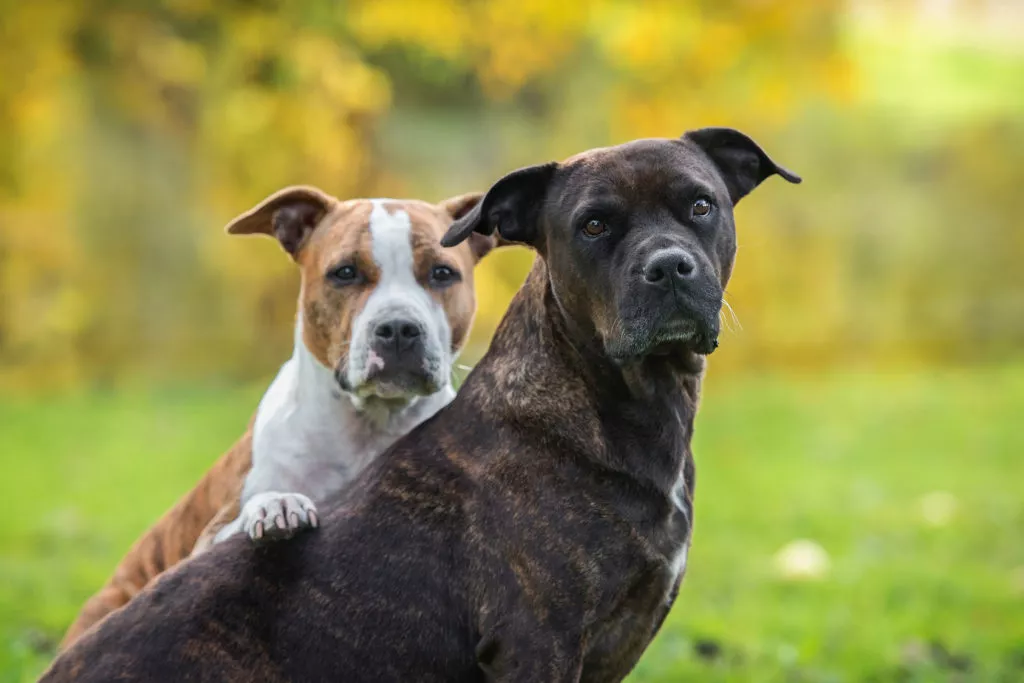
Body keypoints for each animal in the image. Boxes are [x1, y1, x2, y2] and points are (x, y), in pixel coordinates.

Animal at [58, 184, 497, 651]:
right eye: (345, 272)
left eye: (442, 273)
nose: (398, 328)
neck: (368, 427)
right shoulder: (209, 540)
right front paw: (277, 505)